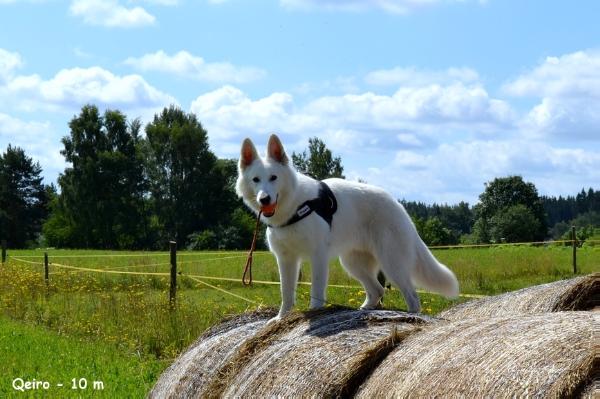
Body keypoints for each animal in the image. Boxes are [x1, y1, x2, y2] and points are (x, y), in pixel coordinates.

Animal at [236, 136, 460, 320]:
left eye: (273, 177)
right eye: (256, 180)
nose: (264, 199)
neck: (294, 206)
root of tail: (398, 205)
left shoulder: (318, 256)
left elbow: (317, 289)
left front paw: (315, 311)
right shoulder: (286, 260)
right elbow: (286, 292)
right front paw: (282, 318)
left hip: (391, 263)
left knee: (412, 296)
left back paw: (412, 315)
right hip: (353, 263)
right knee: (378, 290)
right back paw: (365, 309)